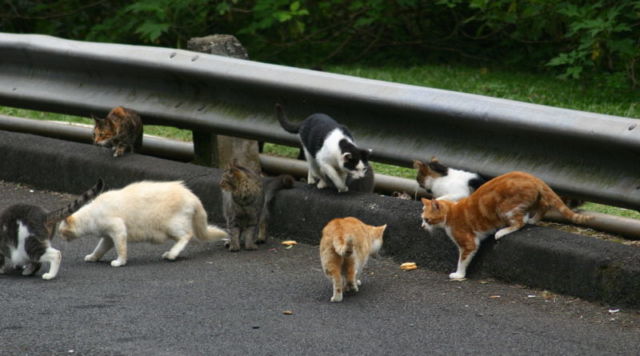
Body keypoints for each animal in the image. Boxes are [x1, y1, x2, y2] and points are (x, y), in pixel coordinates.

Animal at [56, 181, 228, 268]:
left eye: (61, 232)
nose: (60, 238)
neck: (92, 214)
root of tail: (193, 196)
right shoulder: (108, 237)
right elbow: (100, 249)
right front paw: (93, 257)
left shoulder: (118, 229)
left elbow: (121, 249)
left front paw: (120, 262)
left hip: (171, 225)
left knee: (187, 235)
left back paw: (172, 254)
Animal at [420, 170, 592, 280]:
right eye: (422, 219)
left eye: (426, 219)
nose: (422, 227)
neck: (451, 212)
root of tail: (532, 177)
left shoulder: (469, 242)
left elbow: (462, 260)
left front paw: (459, 275)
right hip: (532, 200)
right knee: (542, 206)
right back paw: (533, 219)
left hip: (505, 208)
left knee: (520, 222)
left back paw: (502, 232)